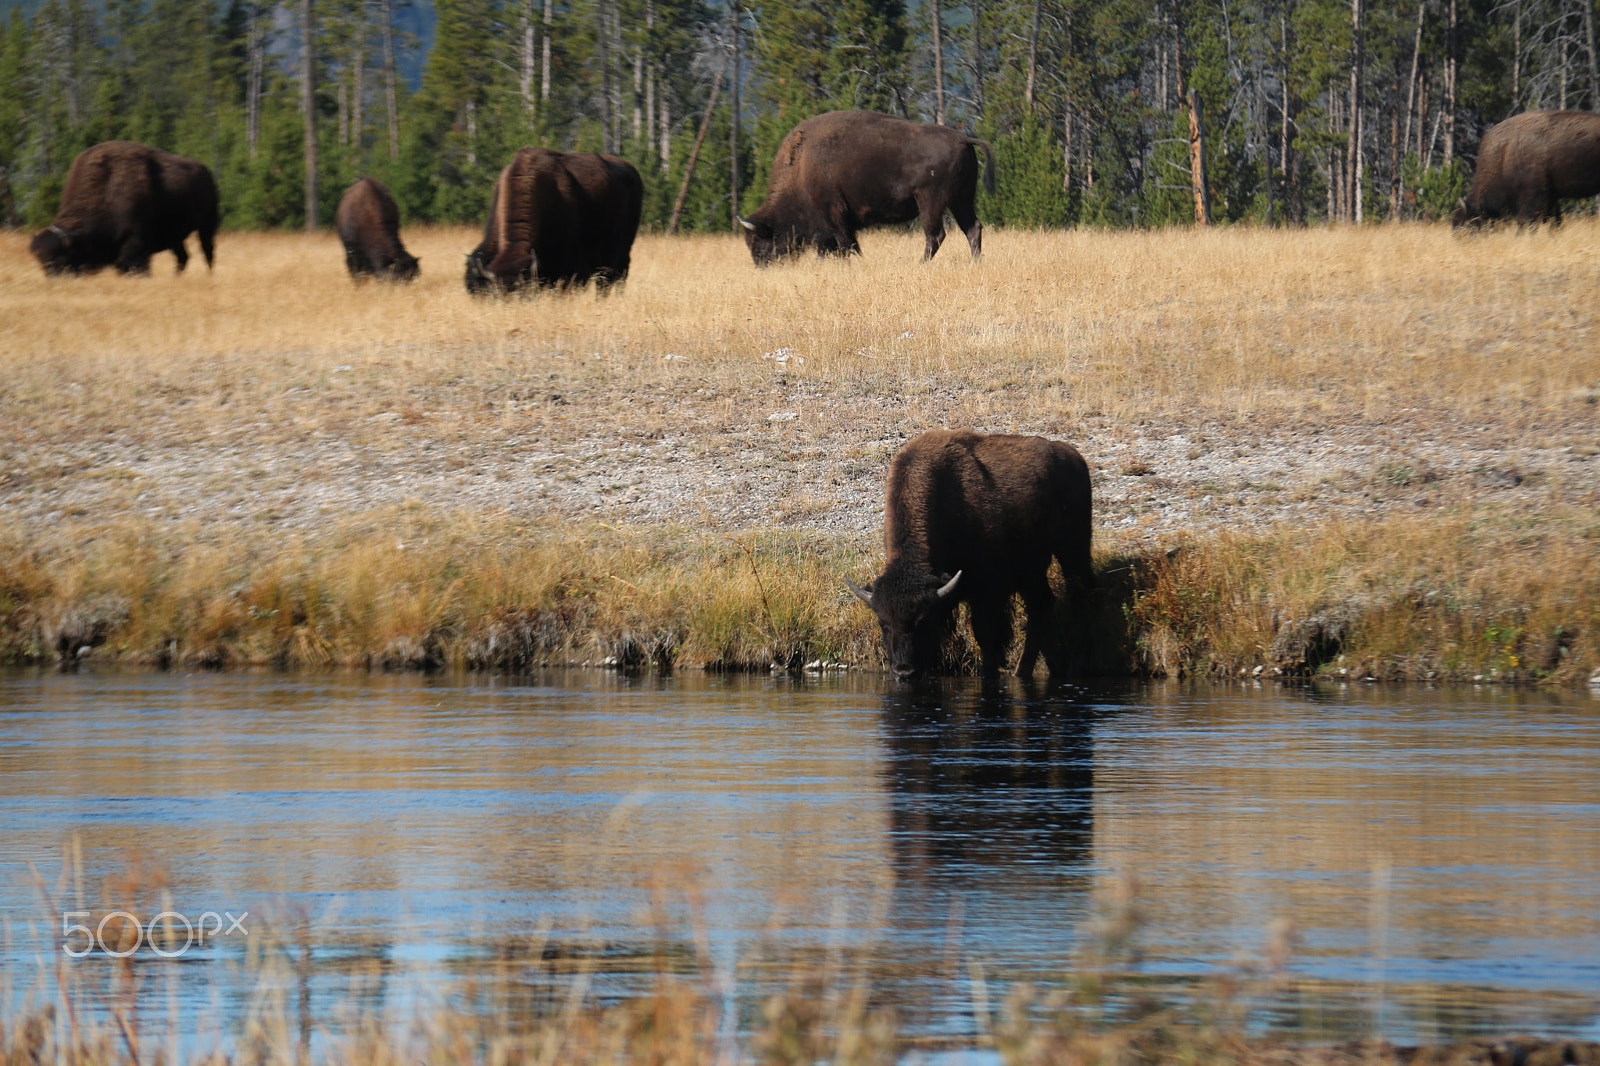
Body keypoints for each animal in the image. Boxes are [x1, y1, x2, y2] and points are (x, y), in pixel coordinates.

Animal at [30, 140, 218, 276]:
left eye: (61, 259)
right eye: (41, 263)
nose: (54, 281)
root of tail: (206, 171)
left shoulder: (135, 243)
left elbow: (135, 265)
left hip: (207, 225)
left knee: (207, 251)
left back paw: (209, 275)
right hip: (175, 236)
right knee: (183, 256)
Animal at [738, 110, 994, 265]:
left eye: (760, 245)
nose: (762, 266)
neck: (801, 168)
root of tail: (963, 139)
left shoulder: (834, 215)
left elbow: (846, 244)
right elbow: (832, 247)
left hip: (931, 201)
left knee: (936, 234)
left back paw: (921, 264)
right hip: (961, 199)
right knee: (972, 228)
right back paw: (975, 262)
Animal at [848, 429, 1094, 681]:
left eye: (923, 621)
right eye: (883, 623)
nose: (904, 671)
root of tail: (1073, 455)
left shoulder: (987, 591)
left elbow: (986, 635)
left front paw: (988, 674)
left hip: (1073, 548)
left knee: (1081, 594)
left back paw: (1076, 667)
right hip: (1032, 569)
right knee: (1042, 605)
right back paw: (1021, 672)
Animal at [1453, 110, 1600, 226]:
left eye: (1466, 224)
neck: (1504, 154)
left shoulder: (1533, 196)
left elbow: (1525, 222)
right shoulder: (1551, 198)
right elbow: (1555, 222)